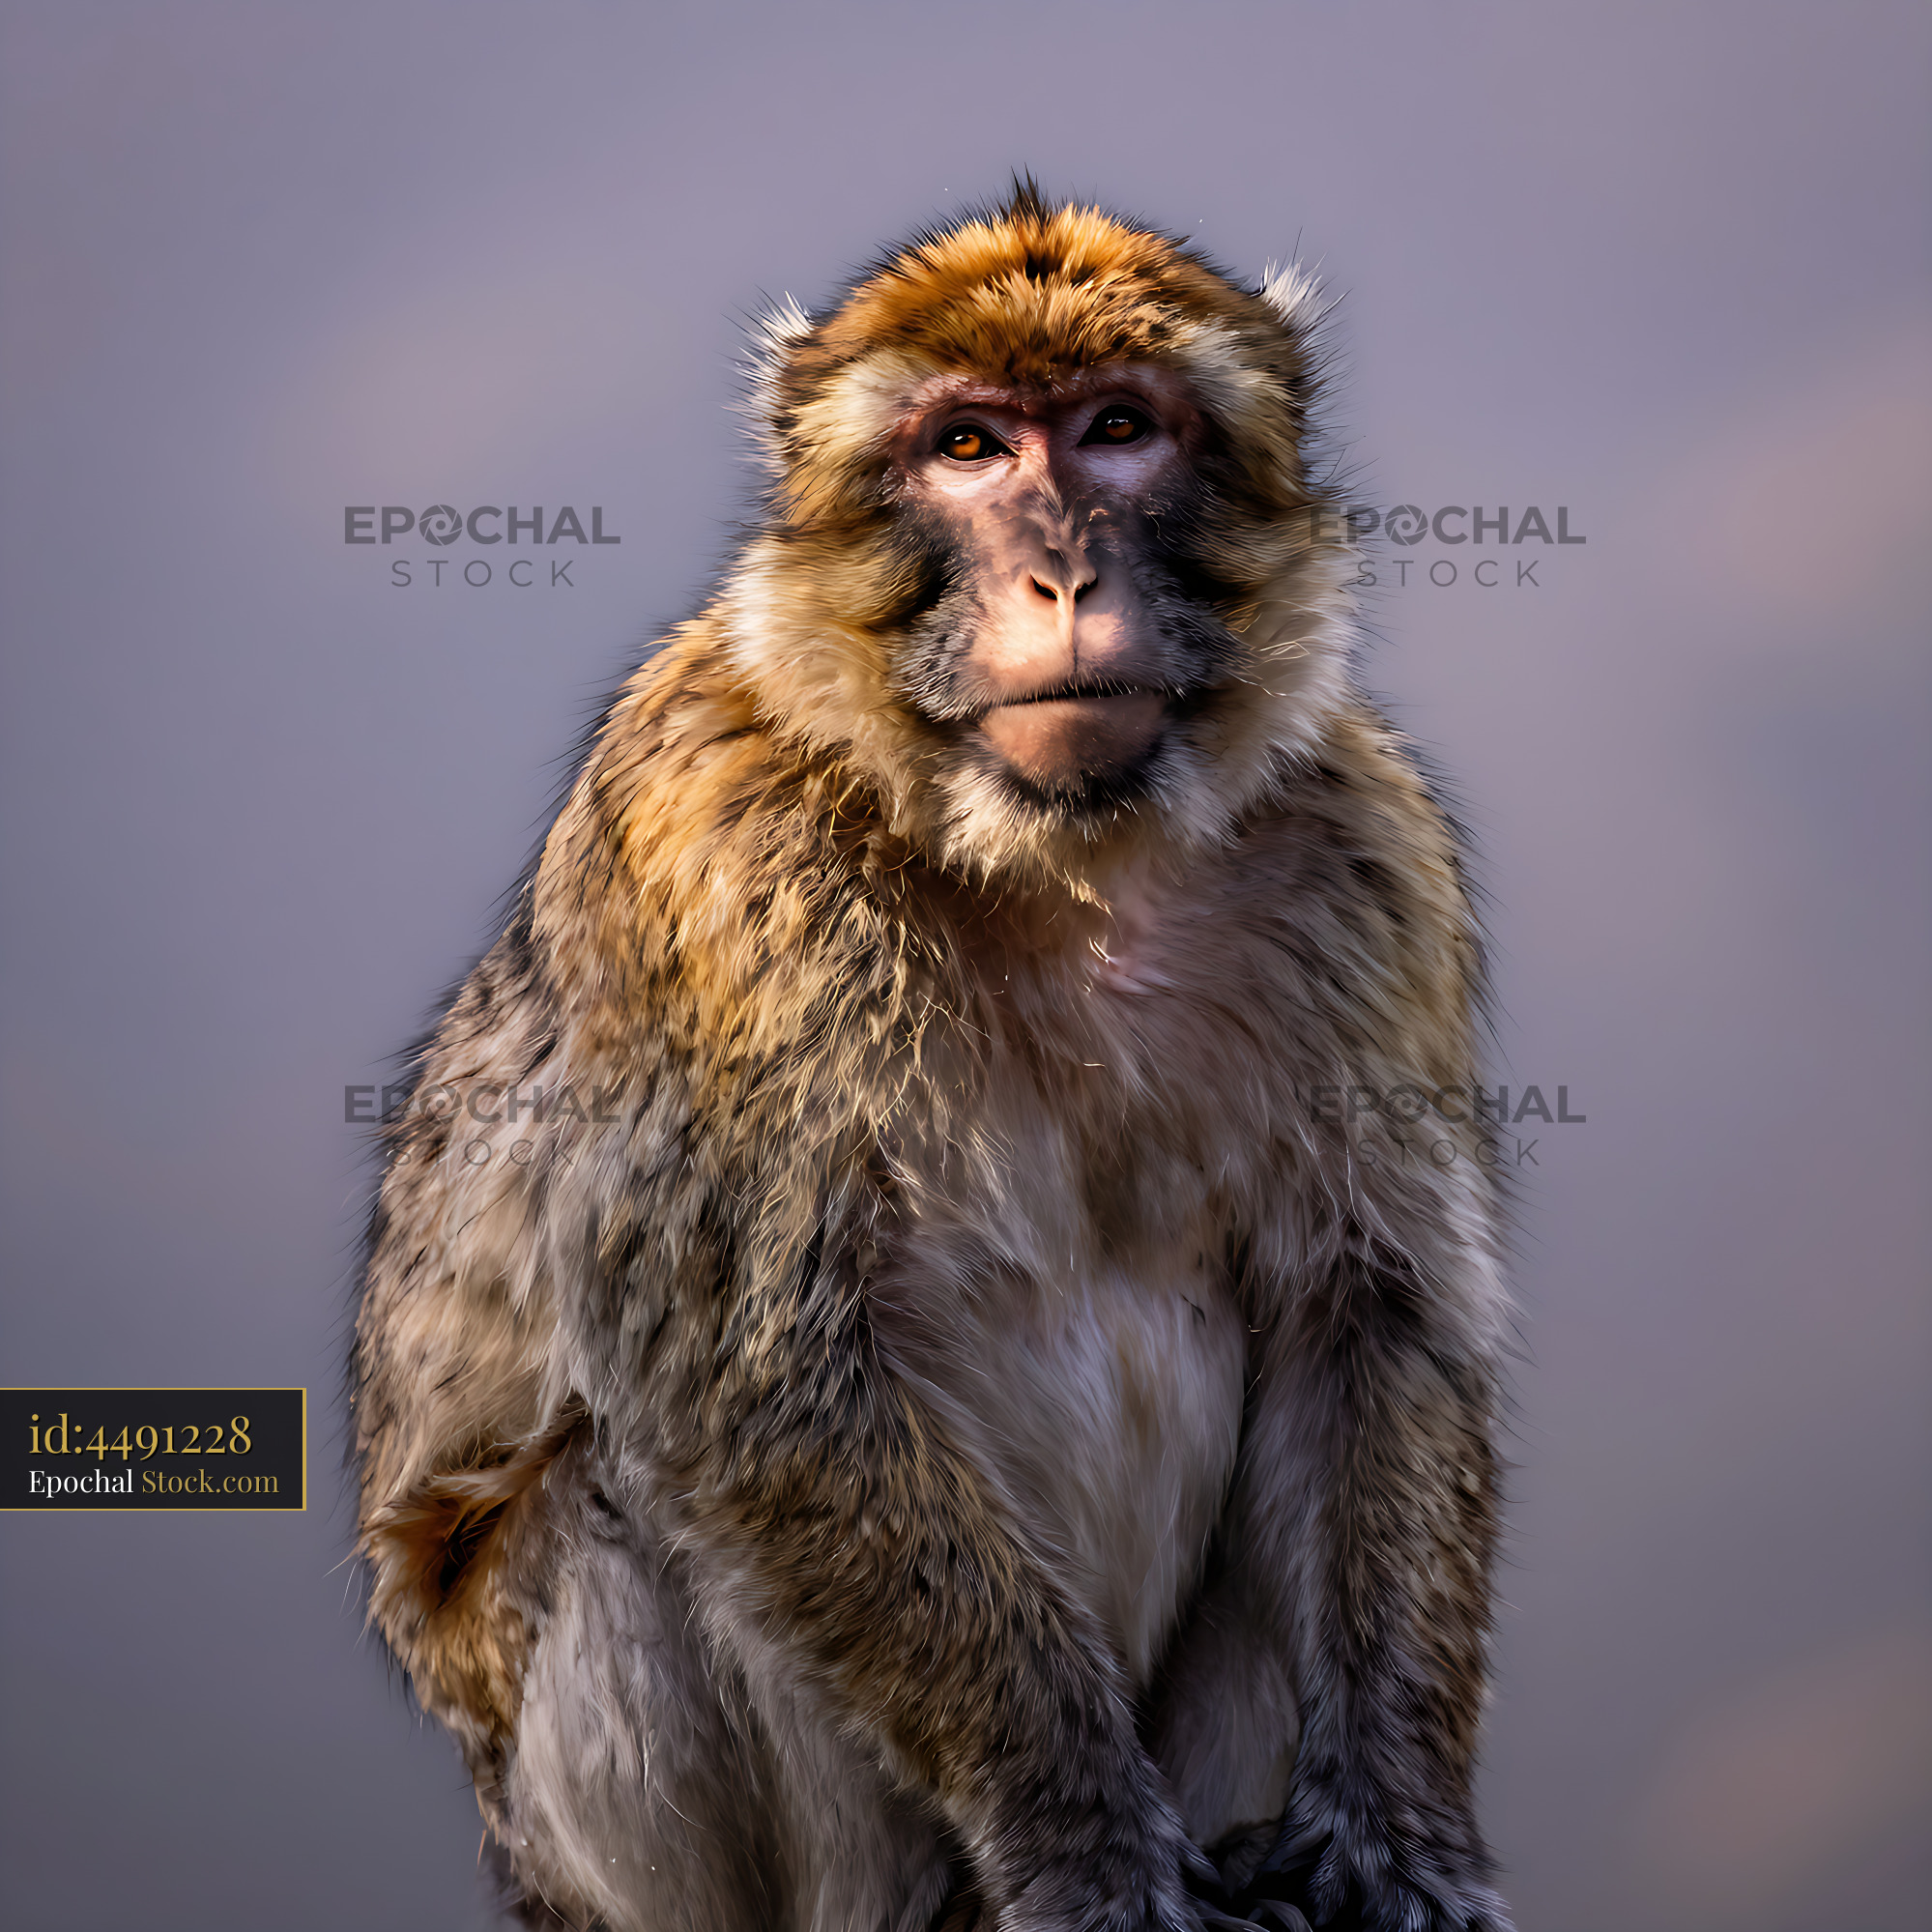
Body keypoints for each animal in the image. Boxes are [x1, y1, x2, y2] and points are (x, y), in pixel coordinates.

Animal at [352, 183, 1514, 1932]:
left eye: (1117, 430)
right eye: (965, 445)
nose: (1059, 574)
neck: (1059, 862)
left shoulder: (1362, 849)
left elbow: (1363, 1321)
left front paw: (1395, 1845)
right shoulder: (715, 855)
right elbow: (755, 1379)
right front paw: (1089, 1852)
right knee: (606, 1490)